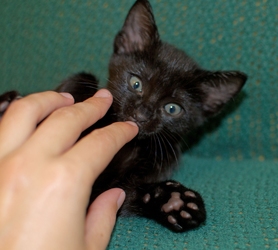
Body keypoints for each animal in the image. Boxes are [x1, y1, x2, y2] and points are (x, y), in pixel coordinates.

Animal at [0, 0, 248, 232]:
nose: (141, 114)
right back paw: (7, 103)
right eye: (136, 83)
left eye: (172, 109)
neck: (129, 145)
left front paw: (175, 202)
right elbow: (79, 81)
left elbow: (126, 194)